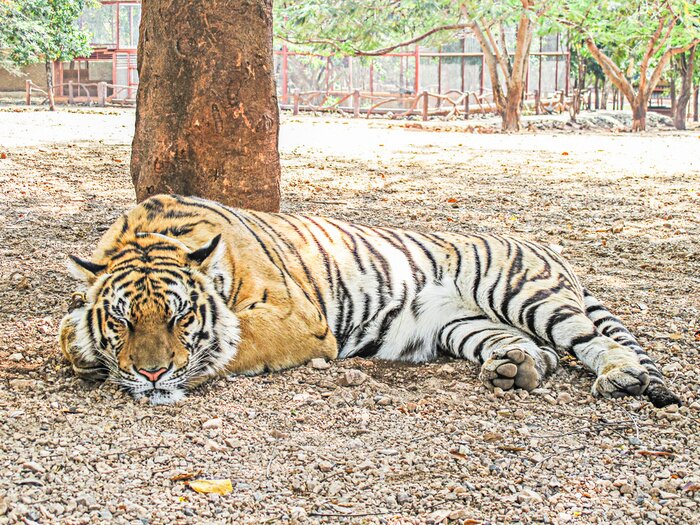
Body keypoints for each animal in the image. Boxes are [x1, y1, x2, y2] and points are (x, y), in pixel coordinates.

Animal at [59, 194, 680, 407]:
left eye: (181, 316)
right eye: (122, 321)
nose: (153, 374)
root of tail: (543, 244)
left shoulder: (299, 318)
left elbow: (237, 339)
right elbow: (70, 333)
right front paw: (90, 352)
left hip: (522, 290)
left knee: (594, 342)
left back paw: (621, 377)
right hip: (464, 326)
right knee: (541, 352)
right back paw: (515, 370)